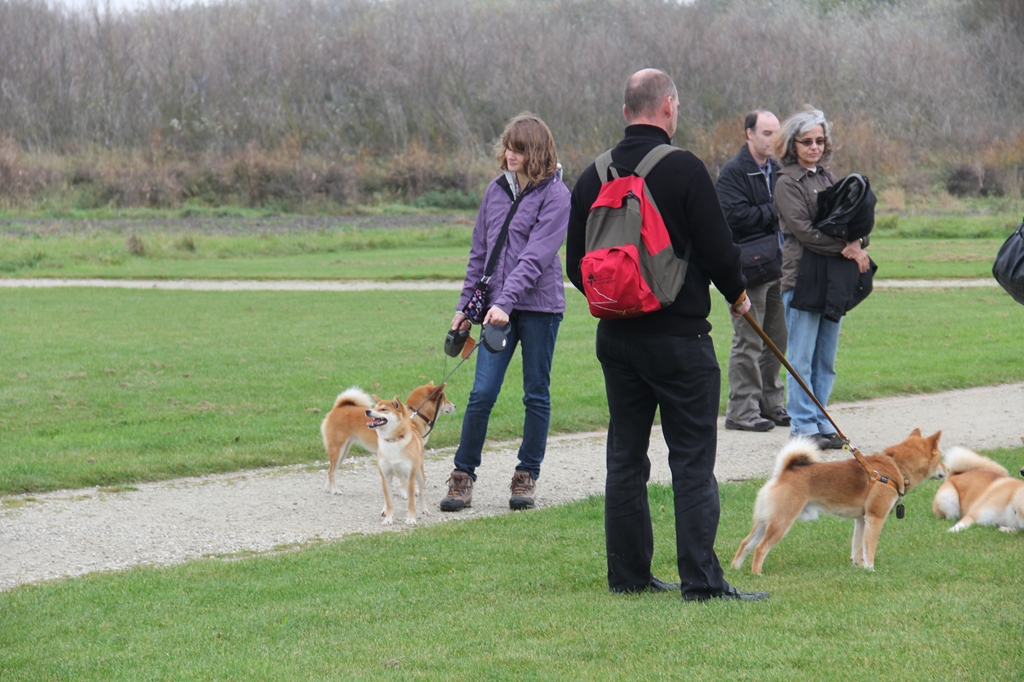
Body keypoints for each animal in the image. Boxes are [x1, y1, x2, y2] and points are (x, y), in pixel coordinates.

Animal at [319, 378, 456, 491]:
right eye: (444, 399)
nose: (455, 405)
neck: (415, 416)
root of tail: (338, 407)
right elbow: (403, 478)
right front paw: (406, 492)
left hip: (342, 451)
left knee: (331, 470)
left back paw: (328, 488)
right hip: (338, 449)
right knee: (331, 471)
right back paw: (334, 490)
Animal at [737, 428, 942, 569]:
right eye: (941, 458)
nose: (946, 469)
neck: (895, 466)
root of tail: (783, 473)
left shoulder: (861, 520)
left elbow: (858, 547)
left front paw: (859, 567)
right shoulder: (875, 518)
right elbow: (870, 548)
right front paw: (870, 568)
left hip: (765, 521)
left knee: (746, 543)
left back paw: (736, 568)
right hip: (782, 522)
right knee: (761, 548)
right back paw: (757, 573)